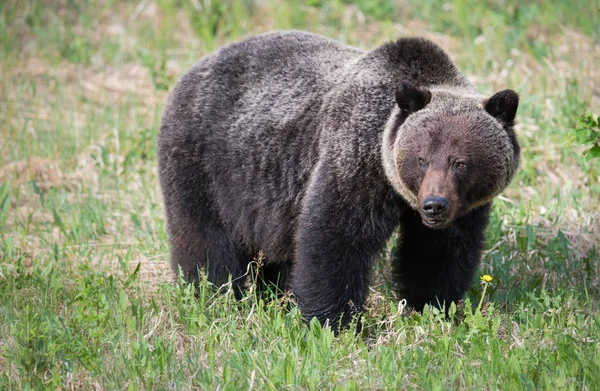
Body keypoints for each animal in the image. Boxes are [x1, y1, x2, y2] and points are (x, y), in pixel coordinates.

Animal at [157, 29, 516, 330]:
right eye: (422, 158)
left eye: (461, 163)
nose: (434, 206)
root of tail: (194, 69)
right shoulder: (355, 162)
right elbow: (335, 240)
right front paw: (333, 322)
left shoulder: (463, 209)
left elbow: (438, 254)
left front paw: (433, 307)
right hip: (206, 165)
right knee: (205, 240)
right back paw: (211, 297)